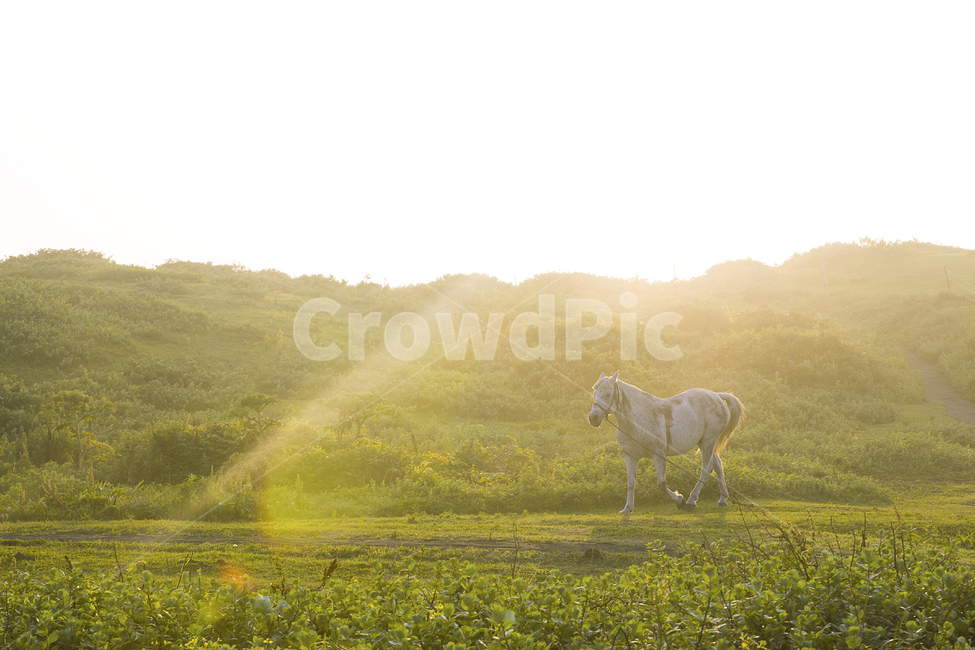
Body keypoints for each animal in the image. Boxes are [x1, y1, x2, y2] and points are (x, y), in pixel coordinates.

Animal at [588, 371, 744, 512]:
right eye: (595, 393)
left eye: (608, 394)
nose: (593, 417)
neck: (637, 419)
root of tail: (717, 396)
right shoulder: (630, 456)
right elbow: (631, 483)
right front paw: (627, 508)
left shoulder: (658, 455)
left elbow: (662, 484)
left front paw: (679, 500)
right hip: (705, 443)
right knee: (718, 466)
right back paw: (722, 500)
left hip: (708, 442)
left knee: (707, 469)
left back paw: (690, 501)